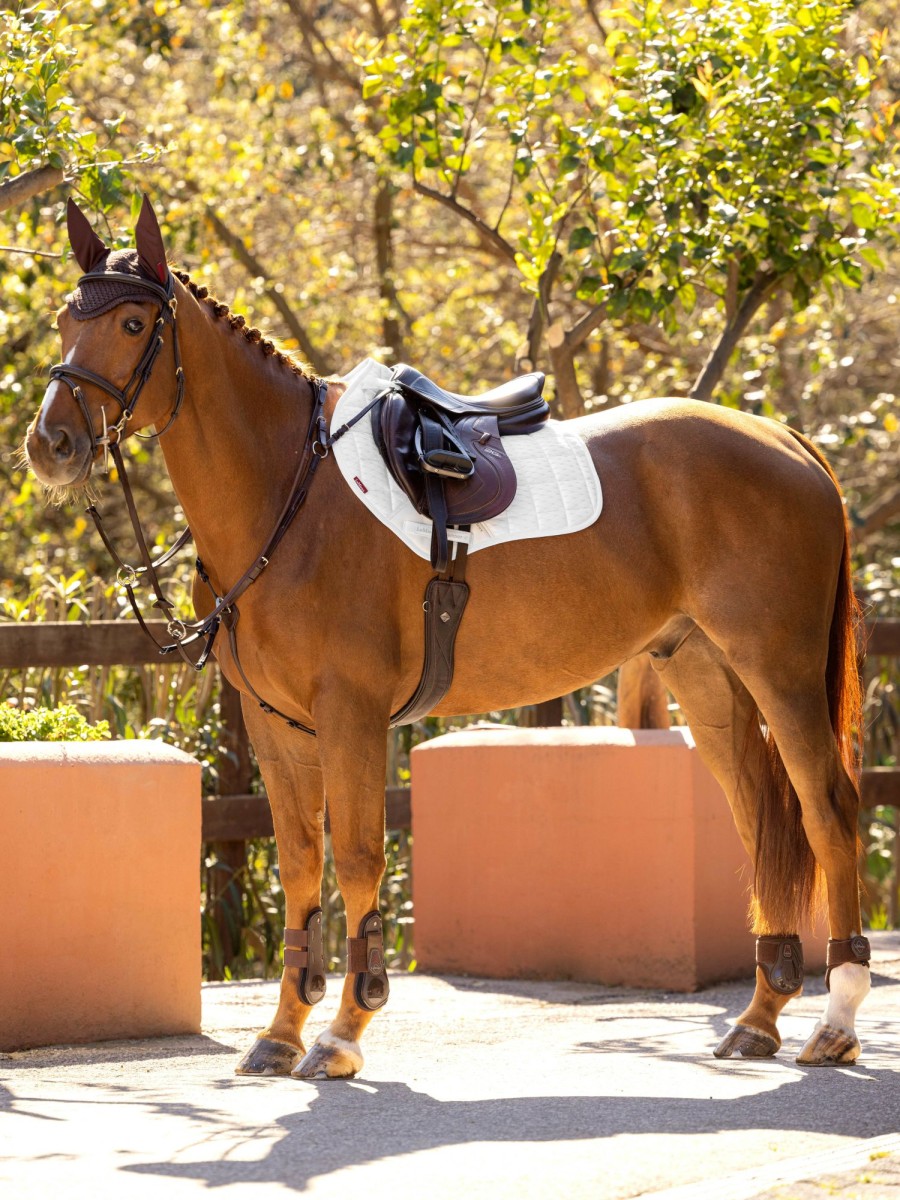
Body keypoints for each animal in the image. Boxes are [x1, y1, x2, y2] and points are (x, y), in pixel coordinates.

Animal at [30, 199, 873, 1080]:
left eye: (132, 323)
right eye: (64, 319)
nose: (49, 444)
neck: (290, 493)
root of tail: (786, 443)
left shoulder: (352, 714)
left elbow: (358, 857)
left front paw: (343, 1031)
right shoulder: (274, 722)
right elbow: (301, 862)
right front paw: (281, 1033)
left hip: (780, 670)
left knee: (828, 811)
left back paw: (835, 1021)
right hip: (707, 675)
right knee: (762, 822)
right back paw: (760, 1017)